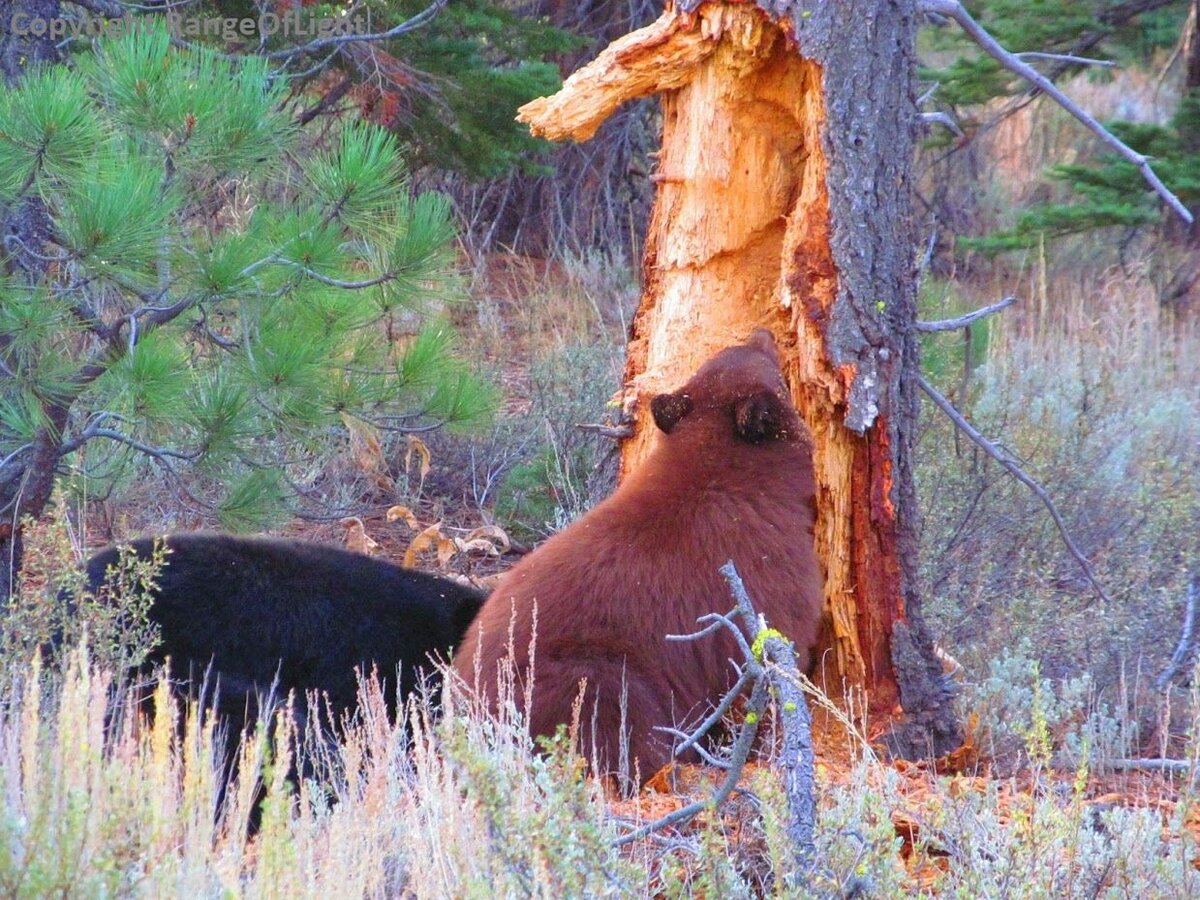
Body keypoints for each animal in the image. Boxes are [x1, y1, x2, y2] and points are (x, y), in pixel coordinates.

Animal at [451, 331, 825, 782]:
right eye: (771, 369)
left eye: (724, 354)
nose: (762, 333)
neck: (720, 465)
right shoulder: (765, 569)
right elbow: (774, 657)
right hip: (592, 678)